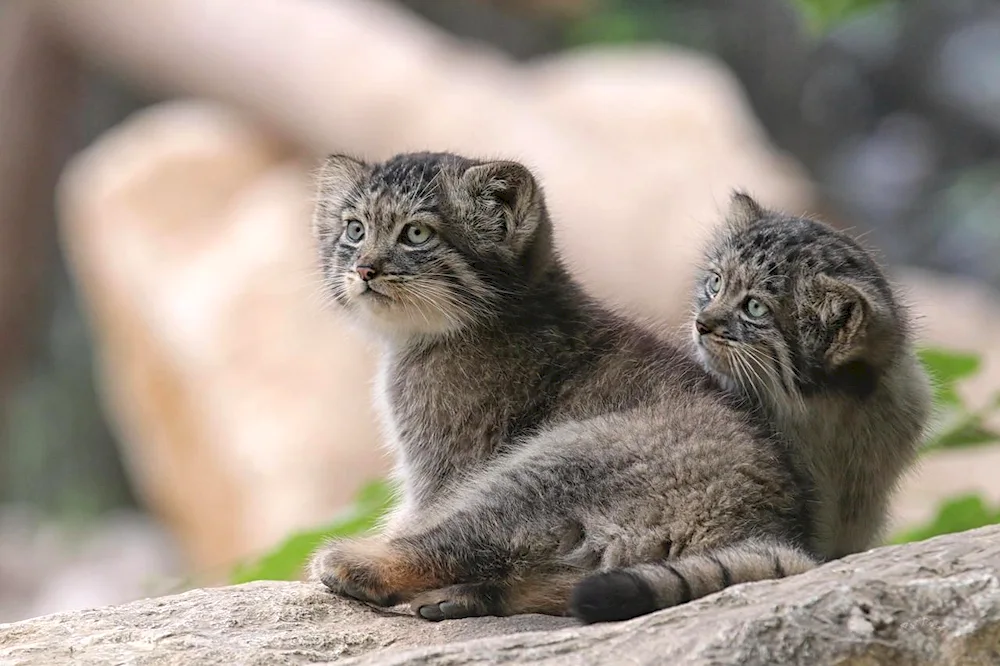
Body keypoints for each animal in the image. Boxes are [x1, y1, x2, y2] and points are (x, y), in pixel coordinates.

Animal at [310, 152, 820, 624]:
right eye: (354, 229)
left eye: (417, 234)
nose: (364, 269)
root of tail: (768, 531)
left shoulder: (442, 467)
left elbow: (416, 519)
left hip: (560, 461)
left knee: (461, 539)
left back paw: (364, 566)